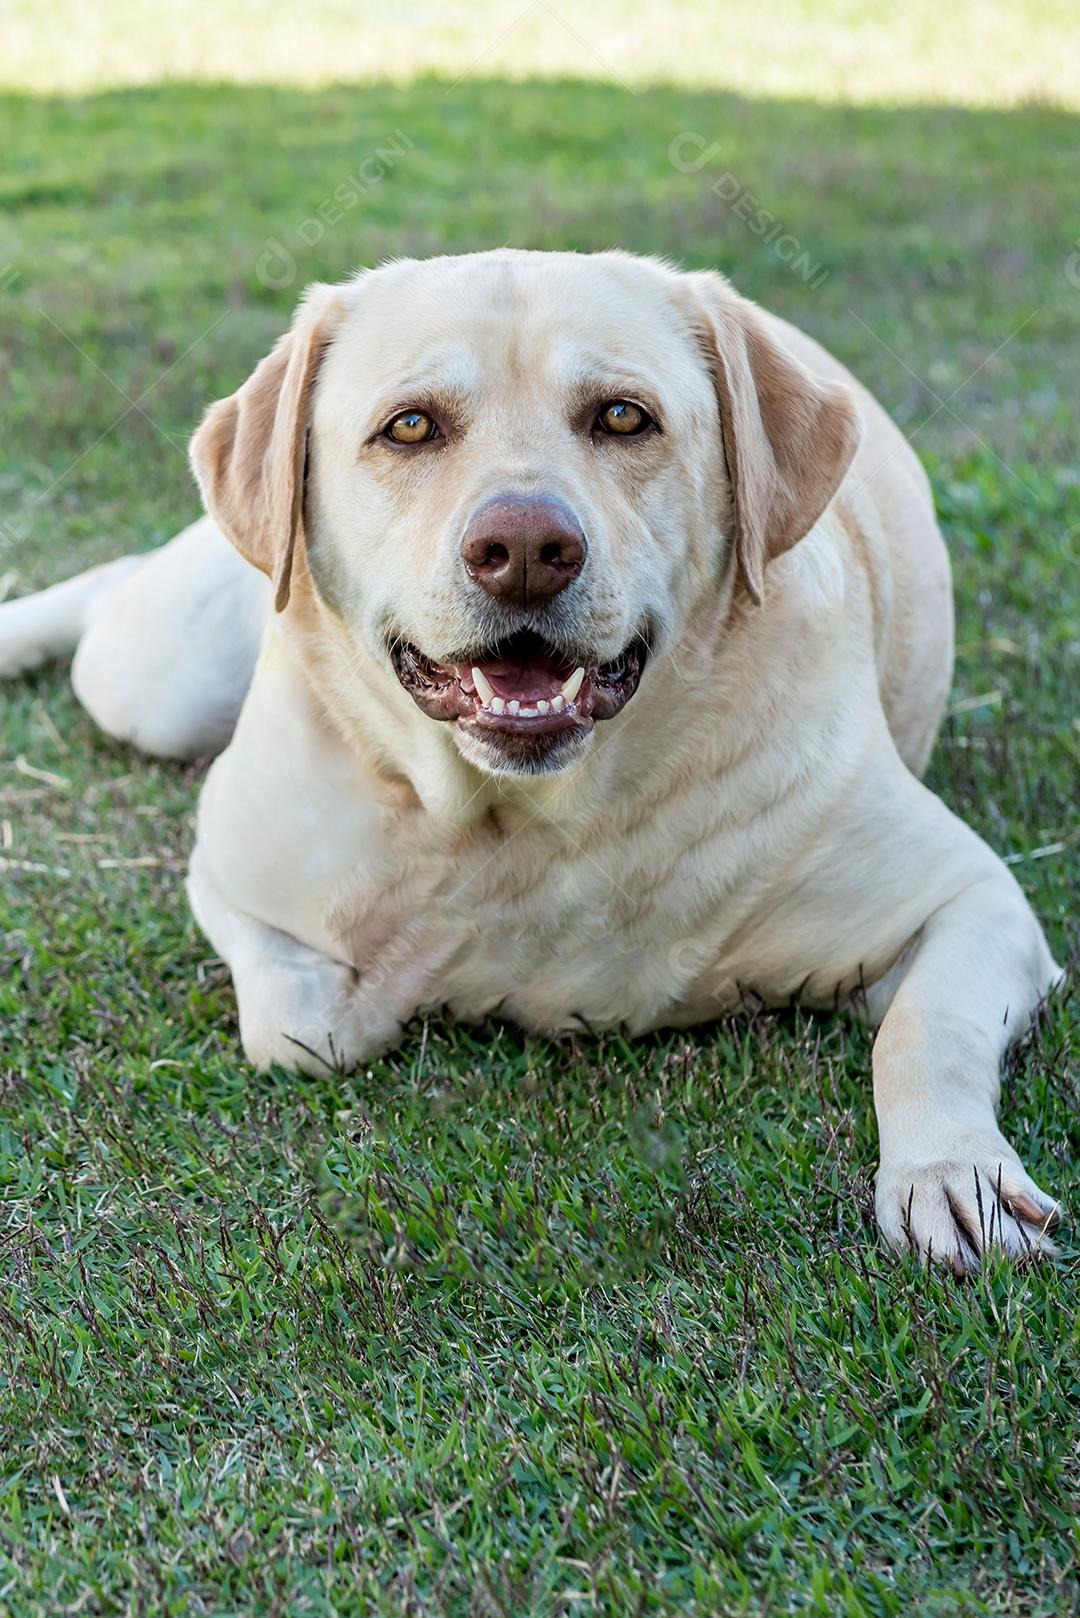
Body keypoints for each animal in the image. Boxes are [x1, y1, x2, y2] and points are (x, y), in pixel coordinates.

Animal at [0, 249, 1062, 1262]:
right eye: (411, 427)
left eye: (624, 417)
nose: (522, 549)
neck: (534, 818)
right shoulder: (228, 875)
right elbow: (302, 1030)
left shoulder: (975, 903)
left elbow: (925, 1031)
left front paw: (949, 1172)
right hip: (160, 679)